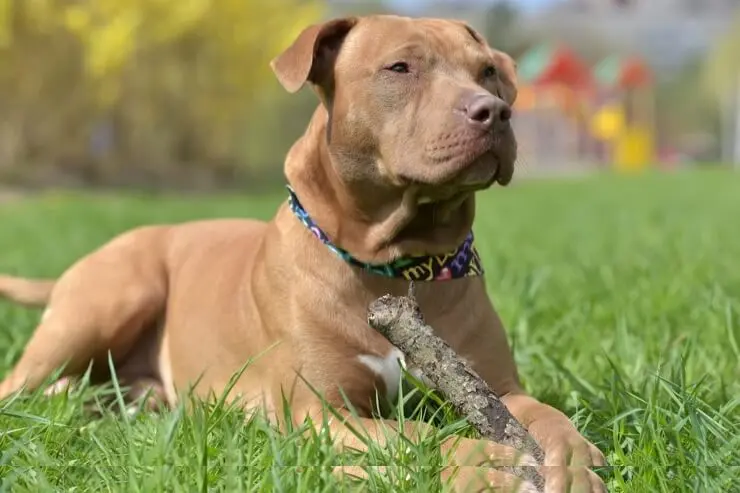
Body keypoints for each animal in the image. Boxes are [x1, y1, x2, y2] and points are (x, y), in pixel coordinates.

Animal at [0, 15, 608, 492]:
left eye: (487, 72)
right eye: (400, 69)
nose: (494, 111)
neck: (397, 263)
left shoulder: (496, 390)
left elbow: (546, 416)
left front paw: (572, 459)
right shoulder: (323, 413)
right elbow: (413, 435)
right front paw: (482, 463)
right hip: (113, 295)